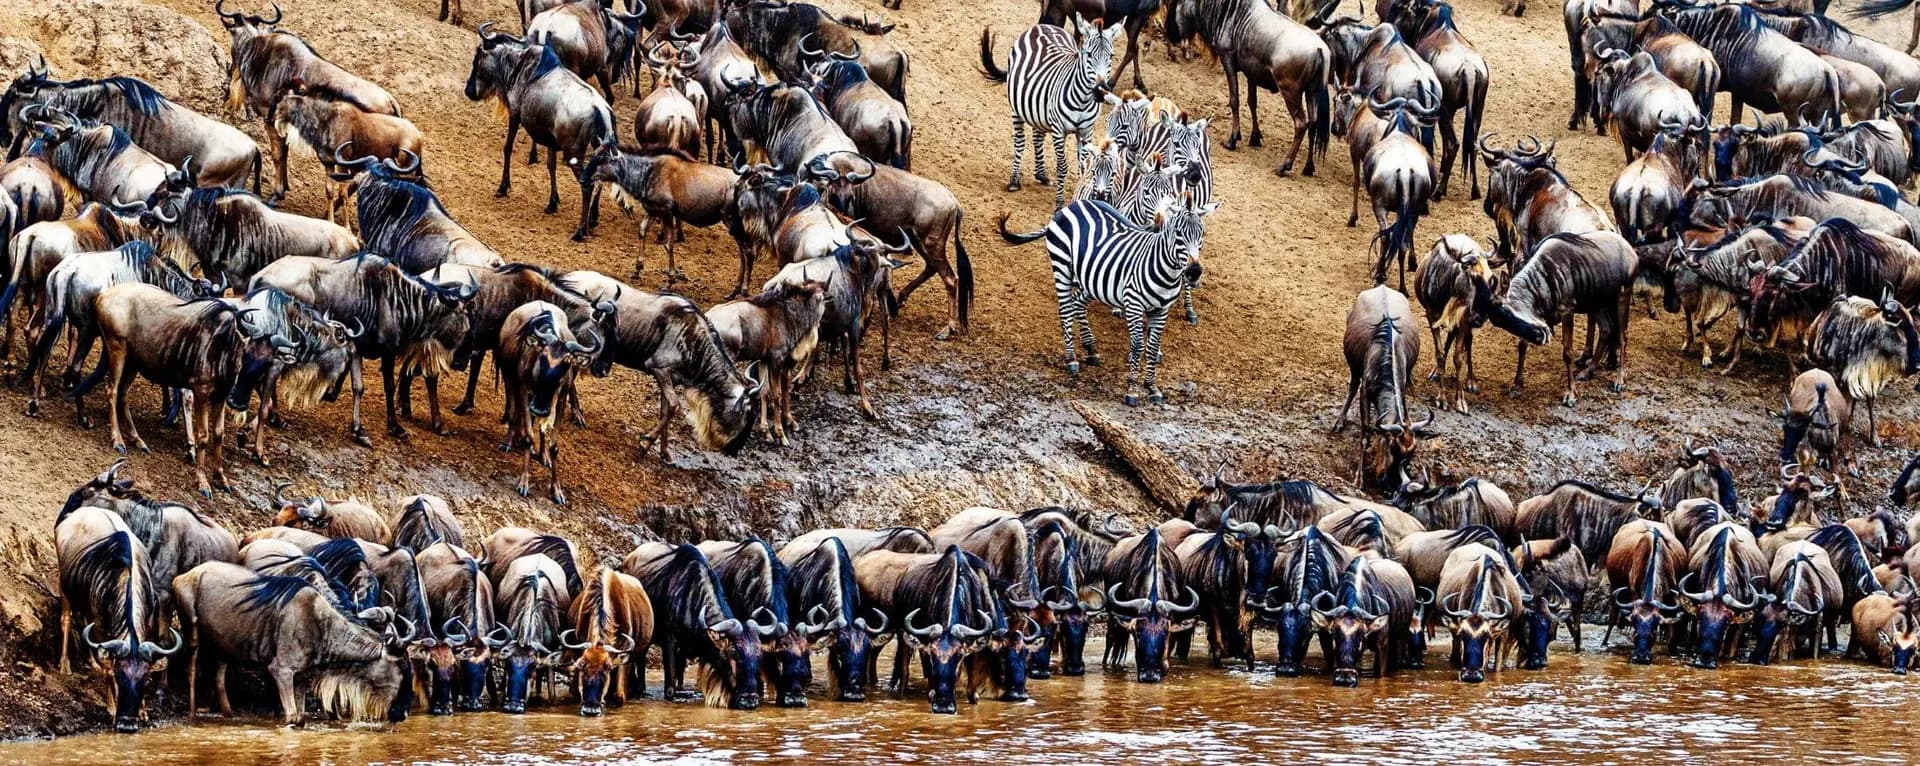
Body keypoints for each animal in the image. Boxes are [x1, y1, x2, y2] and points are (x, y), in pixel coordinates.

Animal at [980, 16, 1124, 211]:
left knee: (1037, 137)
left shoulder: (1086, 131)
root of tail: (1043, 26)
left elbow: (1084, 167)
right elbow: (1062, 166)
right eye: (1088, 55)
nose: (1101, 91)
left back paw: (1041, 175)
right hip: (1017, 108)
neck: (1083, 99)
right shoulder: (1058, 129)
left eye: (1111, 56)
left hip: (1038, 110)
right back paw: (1014, 181)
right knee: (1020, 141)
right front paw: (1060, 203)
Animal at [997, 197, 1221, 406]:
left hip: (1093, 279)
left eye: (1202, 234)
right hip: (1062, 267)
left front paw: (1152, 387)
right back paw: (1071, 359)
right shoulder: (1133, 304)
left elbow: (1152, 346)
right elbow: (1138, 346)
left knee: (1077, 303)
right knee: (1065, 310)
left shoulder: (1161, 309)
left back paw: (1091, 349)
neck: (1167, 272)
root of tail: (1072, 205)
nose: (1194, 273)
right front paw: (1132, 390)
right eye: (1178, 233)